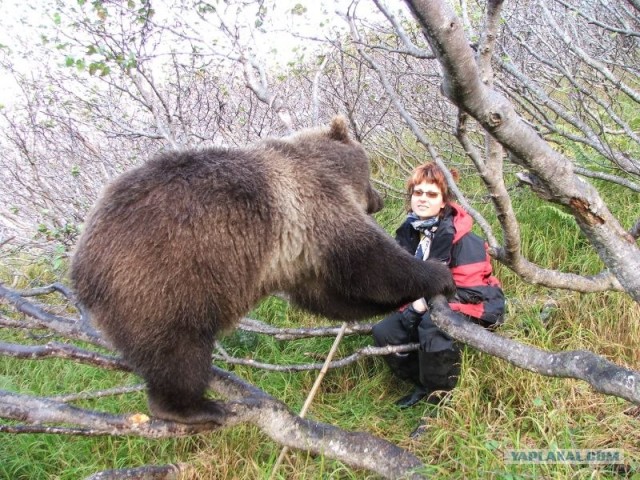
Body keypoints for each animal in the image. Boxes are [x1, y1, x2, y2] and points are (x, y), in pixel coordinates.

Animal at [71, 117, 456, 424]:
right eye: (370, 170)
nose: (380, 198)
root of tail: (80, 268)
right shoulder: (315, 206)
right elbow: (369, 262)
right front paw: (436, 274)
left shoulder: (297, 255)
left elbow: (328, 297)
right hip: (161, 282)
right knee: (177, 352)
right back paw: (195, 408)